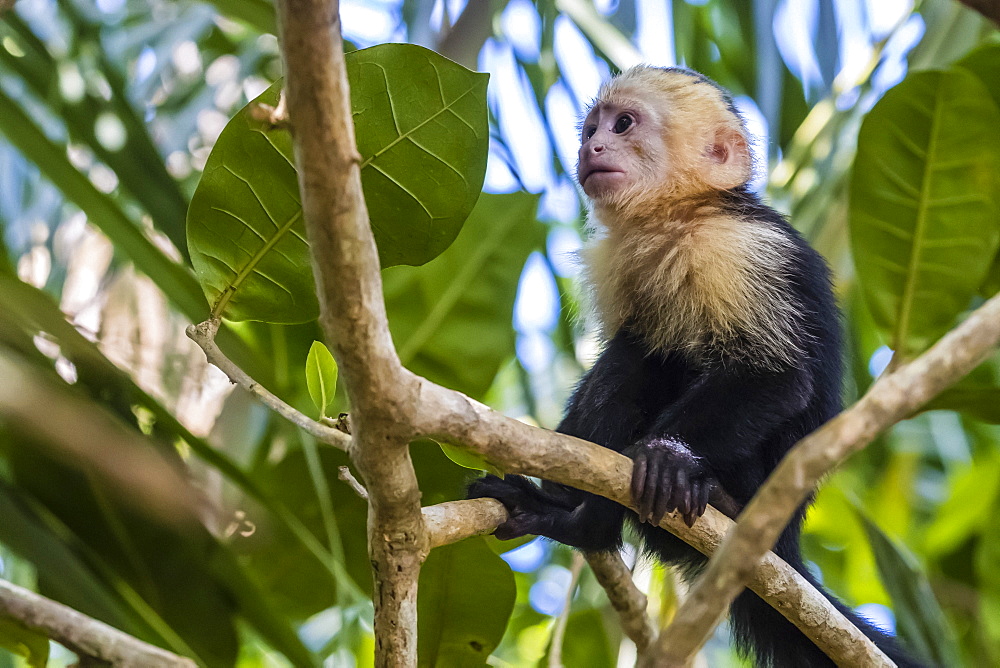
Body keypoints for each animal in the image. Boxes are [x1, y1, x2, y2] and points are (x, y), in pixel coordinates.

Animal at [468, 66, 920, 668]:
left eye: (623, 123)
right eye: (591, 127)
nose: (591, 147)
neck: (677, 216)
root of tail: (785, 542)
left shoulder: (737, 250)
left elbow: (775, 376)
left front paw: (671, 458)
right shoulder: (617, 263)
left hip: (750, 490)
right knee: (638, 355)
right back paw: (574, 518)